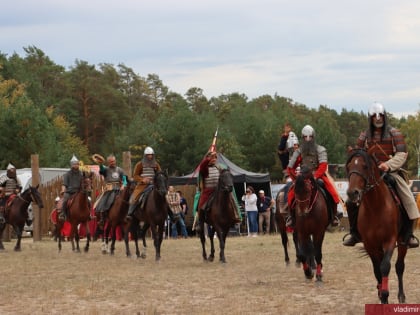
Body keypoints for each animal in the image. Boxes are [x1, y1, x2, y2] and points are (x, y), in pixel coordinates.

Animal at [346, 148, 408, 304]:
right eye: (349, 167)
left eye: (365, 166)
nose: (352, 193)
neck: (375, 207)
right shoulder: (370, 245)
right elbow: (377, 270)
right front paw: (381, 294)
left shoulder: (390, 241)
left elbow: (385, 266)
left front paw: (385, 293)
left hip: (402, 242)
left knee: (399, 266)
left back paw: (401, 296)